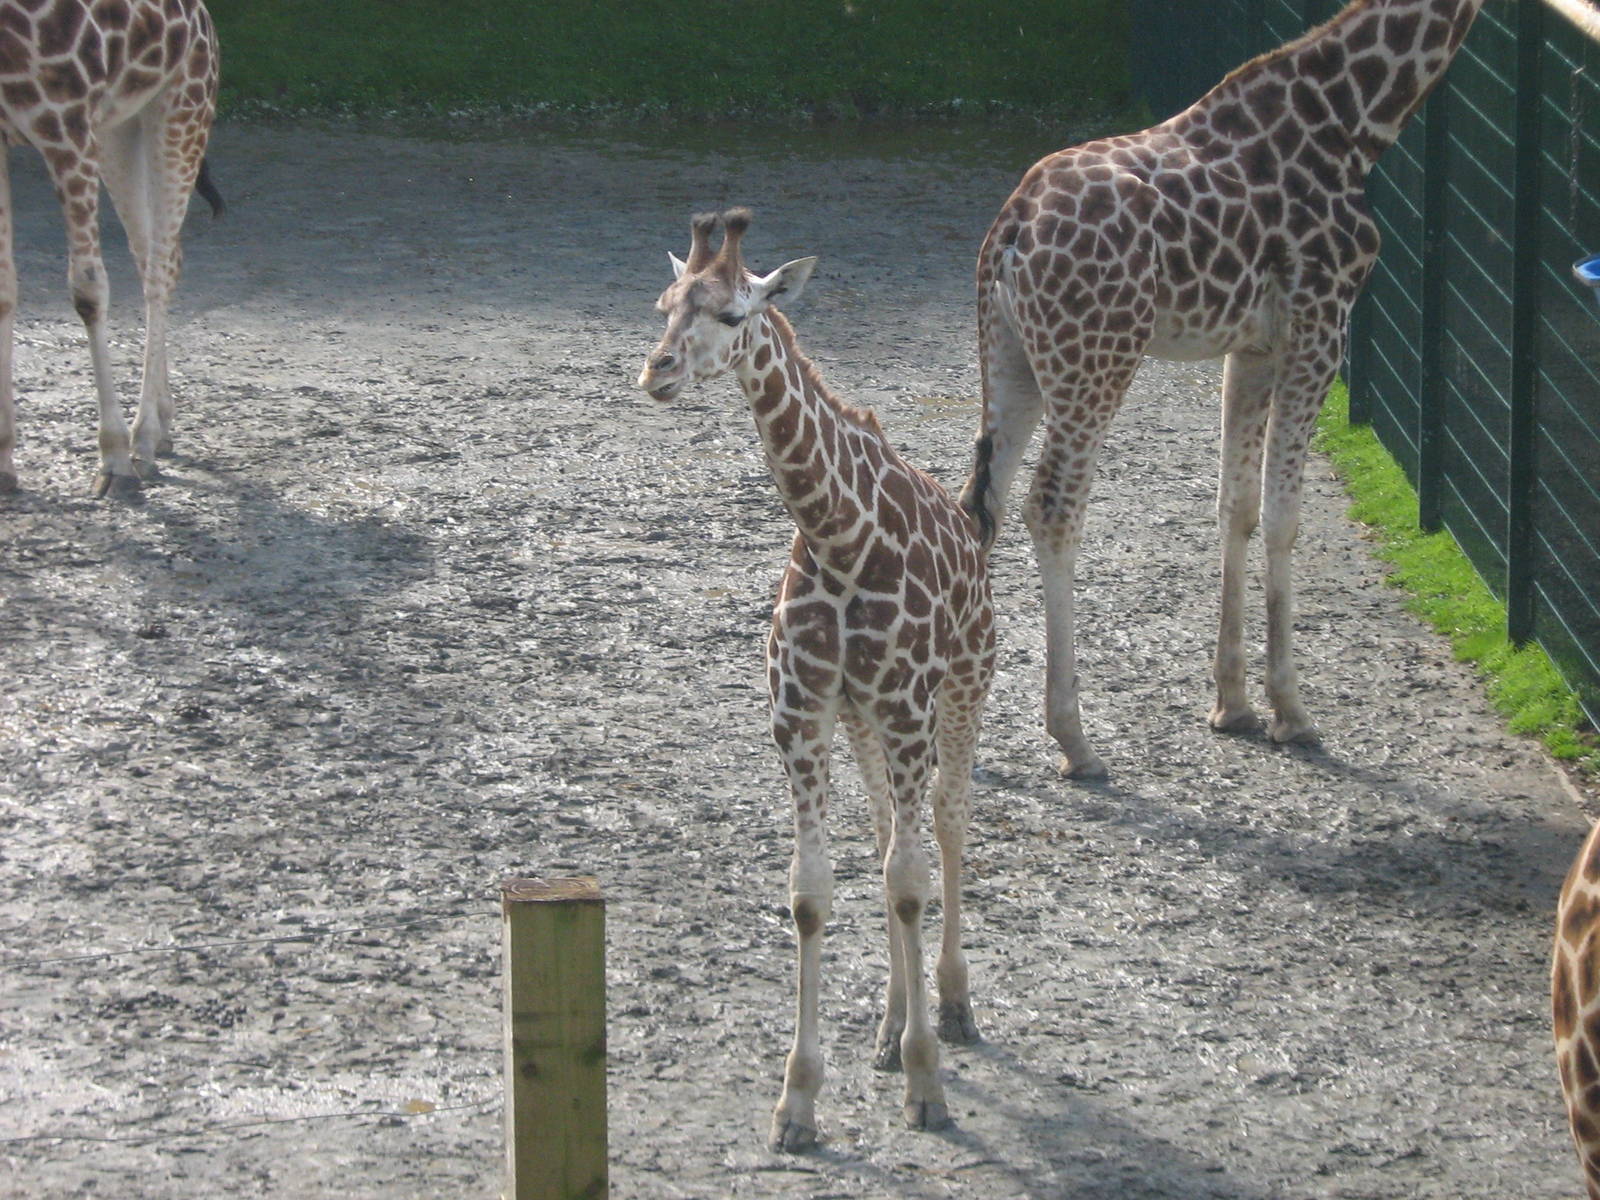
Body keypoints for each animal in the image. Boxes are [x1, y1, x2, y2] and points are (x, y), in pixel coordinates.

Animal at [0, 0, 220, 498]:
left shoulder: (66, 122)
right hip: (119, 128)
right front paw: (3, 462)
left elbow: (88, 290)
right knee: (155, 255)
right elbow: (4, 289)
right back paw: (163, 420)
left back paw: (144, 439)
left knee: (159, 267)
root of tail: (204, 19)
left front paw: (115, 457)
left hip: (181, 108)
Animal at [637, 210, 996, 1152]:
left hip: (962, 688)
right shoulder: (801, 715)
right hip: (865, 720)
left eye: (734, 314)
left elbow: (909, 880)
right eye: (662, 304)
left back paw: (953, 1007)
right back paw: (888, 1024)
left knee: (946, 826)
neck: (839, 537)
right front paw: (797, 1100)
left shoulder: (906, 710)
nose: (655, 371)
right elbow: (815, 894)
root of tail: (971, 527)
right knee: (885, 837)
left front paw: (927, 1086)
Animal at [959, 0, 1483, 777]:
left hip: (1010, 358)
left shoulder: (1252, 346)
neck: (1357, 118)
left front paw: (1232, 704)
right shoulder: (1320, 324)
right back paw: (1074, 739)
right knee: (1051, 509)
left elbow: (1234, 507)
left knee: (980, 504)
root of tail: (1012, 228)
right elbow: (1283, 514)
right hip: (1097, 357)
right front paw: (1292, 711)